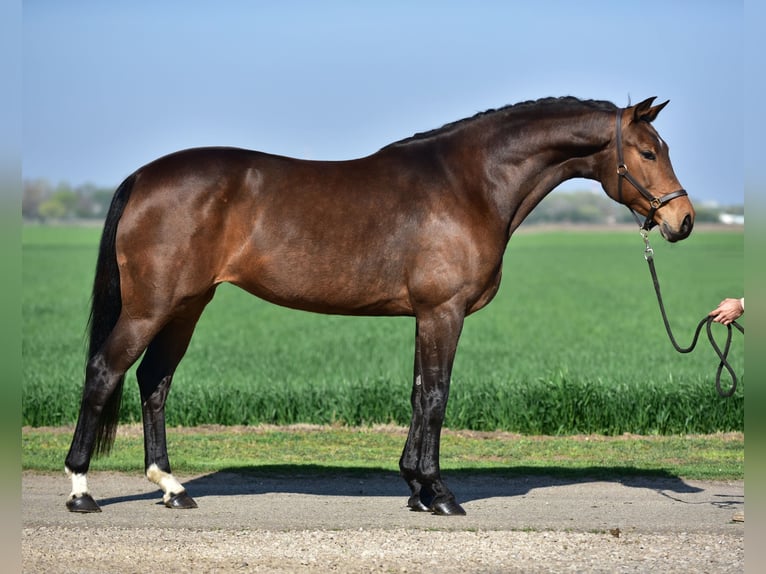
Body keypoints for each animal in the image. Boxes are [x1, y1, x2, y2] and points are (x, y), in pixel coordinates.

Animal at [64, 96, 694, 516]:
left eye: (663, 149)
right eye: (646, 151)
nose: (682, 220)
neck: (469, 183)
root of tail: (143, 177)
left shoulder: (425, 316)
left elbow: (419, 394)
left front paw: (416, 488)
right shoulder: (443, 312)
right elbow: (437, 396)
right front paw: (439, 494)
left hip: (187, 306)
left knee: (154, 381)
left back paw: (172, 488)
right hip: (151, 306)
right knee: (105, 372)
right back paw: (81, 492)